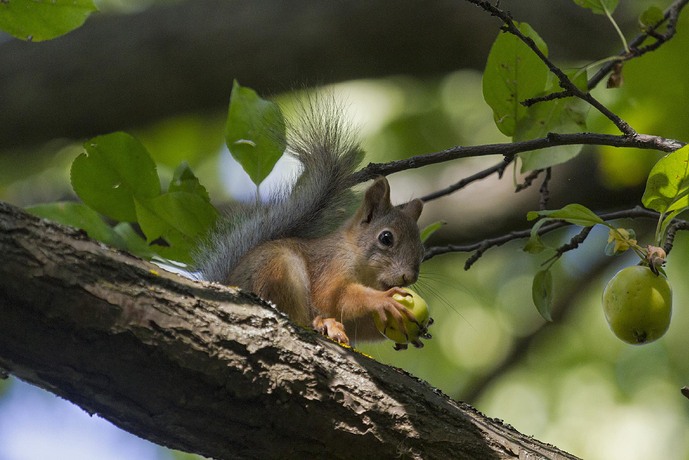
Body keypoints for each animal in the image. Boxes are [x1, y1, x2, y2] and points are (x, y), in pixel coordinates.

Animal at [195, 98, 425, 345]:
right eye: (386, 238)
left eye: (422, 251)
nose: (409, 277)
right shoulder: (329, 264)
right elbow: (334, 297)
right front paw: (382, 299)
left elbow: (359, 325)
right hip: (278, 269)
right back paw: (323, 323)